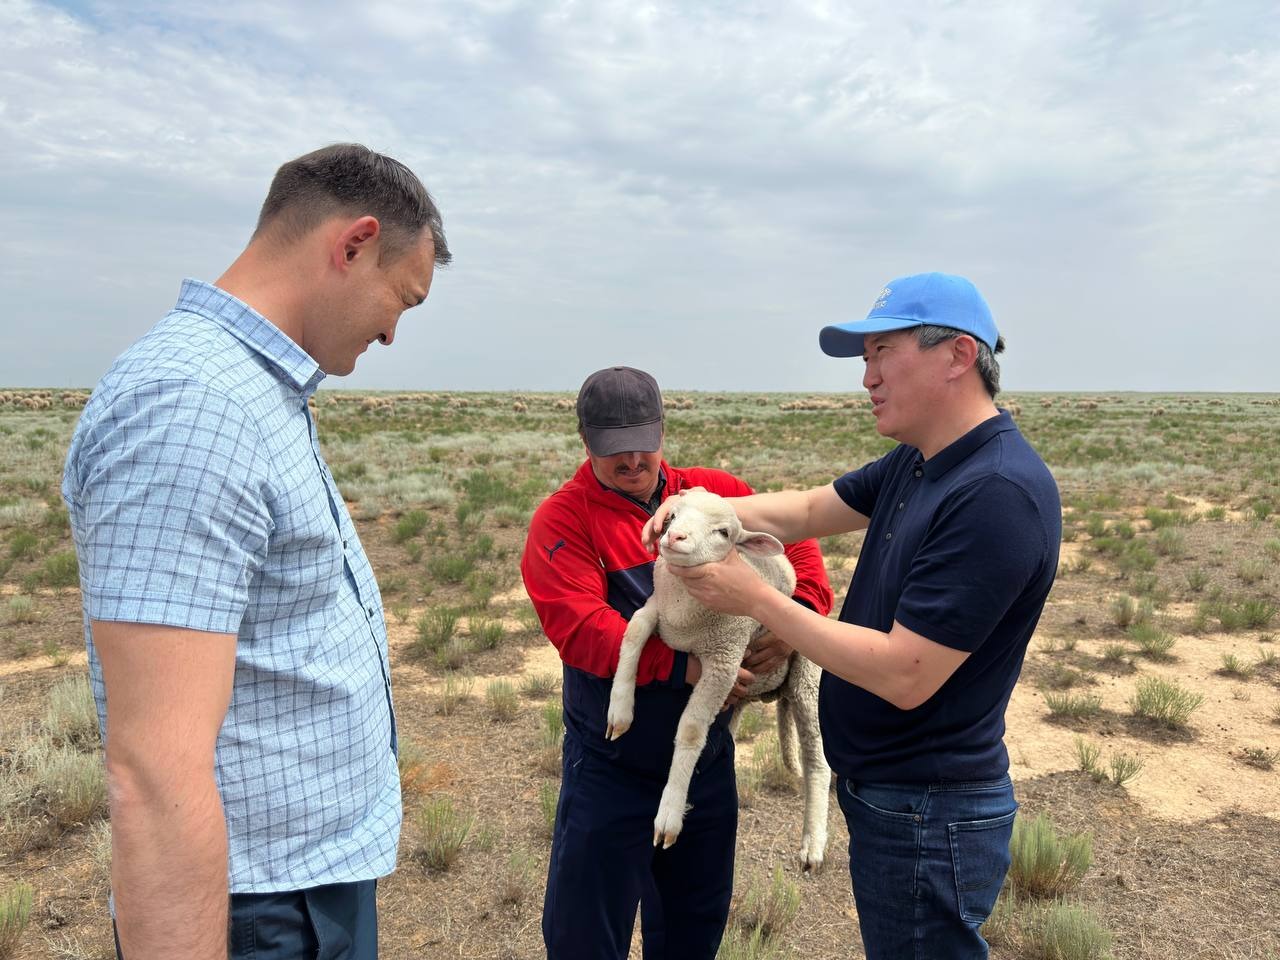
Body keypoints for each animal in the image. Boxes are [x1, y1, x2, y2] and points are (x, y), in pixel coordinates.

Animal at [606, 488, 834, 870]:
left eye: (724, 533)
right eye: (672, 515)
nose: (674, 536)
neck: (684, 613)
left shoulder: (724, 662)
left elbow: (690, 730)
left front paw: (669, 815)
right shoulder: (656, 610)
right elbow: (633, 632)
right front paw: (619, 712)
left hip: (807, 676)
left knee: (817, 760)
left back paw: (812, 845)